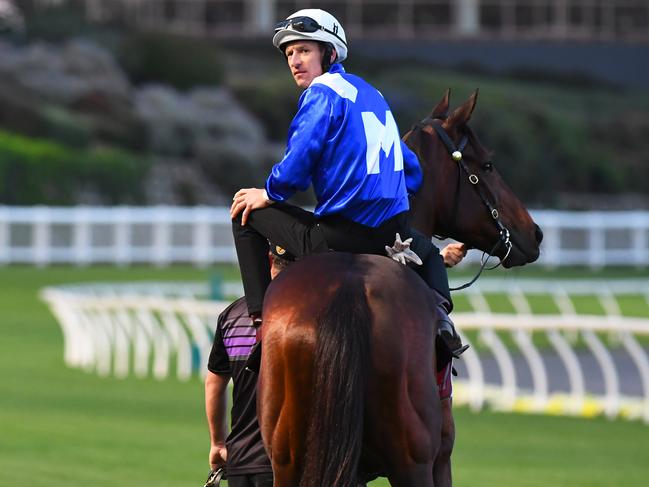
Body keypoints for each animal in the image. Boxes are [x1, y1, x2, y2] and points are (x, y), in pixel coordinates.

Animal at [256, 89, 544, 486]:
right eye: (487, 165)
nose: (535, 233)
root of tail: (349, 290)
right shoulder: (440, 459)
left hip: (287, 460)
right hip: (413, 461)